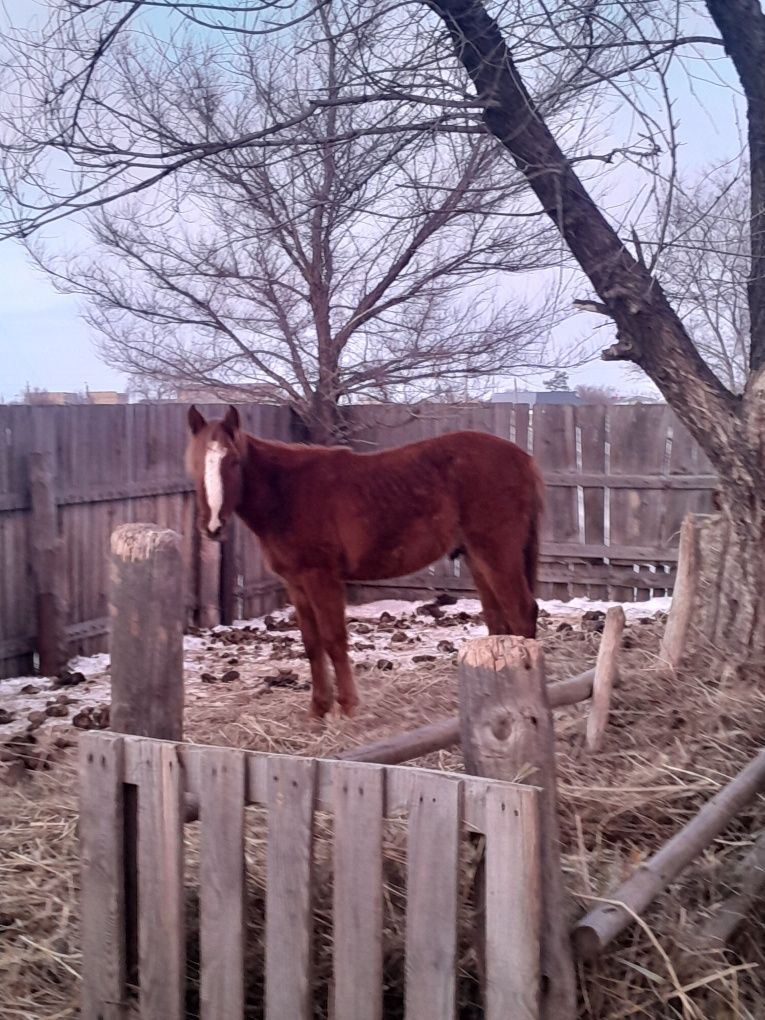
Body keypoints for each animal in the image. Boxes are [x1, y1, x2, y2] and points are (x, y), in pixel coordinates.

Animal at [185, 403, 546, 718]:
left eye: (233, 462)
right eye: (195, 462)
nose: (212, 526)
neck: (287, 494)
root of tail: (524, 458)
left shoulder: (322, 578)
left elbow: (333, 640)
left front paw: (347, 707)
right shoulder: (296, 584)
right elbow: (312, 644)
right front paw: (317, 711)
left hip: (497, 552)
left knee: (521, 611)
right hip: (477, 557)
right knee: (499, 621)